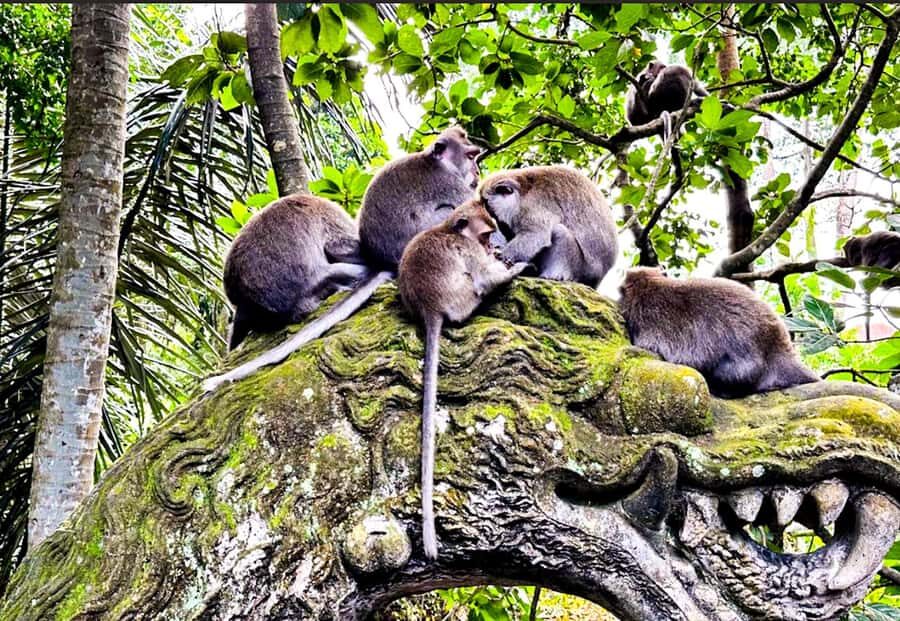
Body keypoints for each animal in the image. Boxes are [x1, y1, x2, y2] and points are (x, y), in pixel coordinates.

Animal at [398, 199, 530, 560]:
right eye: (484, 234)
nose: (490, 246)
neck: (448, 229)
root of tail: (429, 309)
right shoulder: (467, 250)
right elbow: (487, 276)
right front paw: (515, 267)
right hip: (463, 299)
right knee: (479, 287)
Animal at [478, 166, 618, 289]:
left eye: (493, 214)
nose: (502, 227)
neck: (523, 191)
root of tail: (597, 280)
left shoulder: (533, 205)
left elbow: (535, 235)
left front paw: (502, 257)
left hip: (582, 271)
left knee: (560, 232)